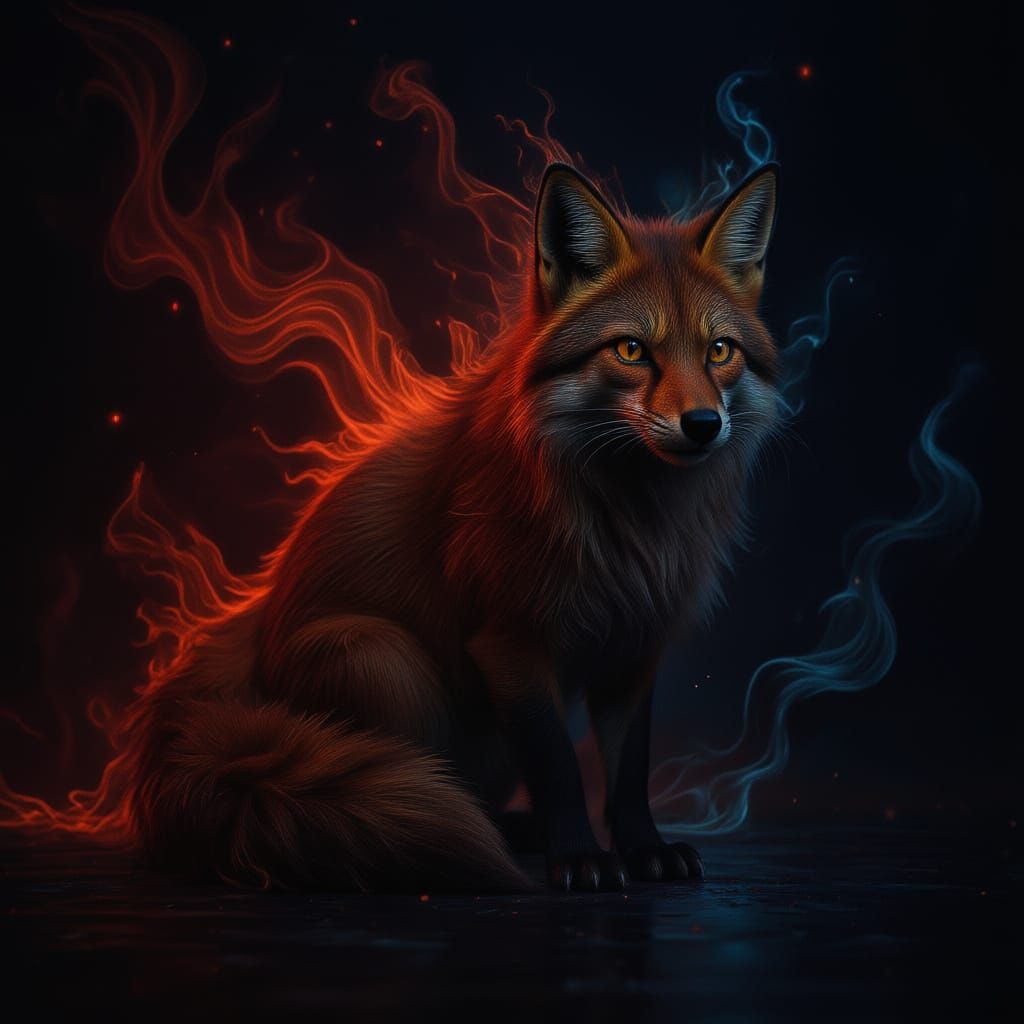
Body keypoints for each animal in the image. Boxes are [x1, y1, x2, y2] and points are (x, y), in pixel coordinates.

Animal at [130, 160, 782, 892]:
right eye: (632, 350)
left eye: (719, 351)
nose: (703, 424)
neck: (632, 526)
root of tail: (250, 631)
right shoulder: (509, 642)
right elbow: (559, 768)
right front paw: (580, 857)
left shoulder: (635, 644)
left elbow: (629, 775)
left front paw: (644, 851)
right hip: (382, 659)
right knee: (411, 785)